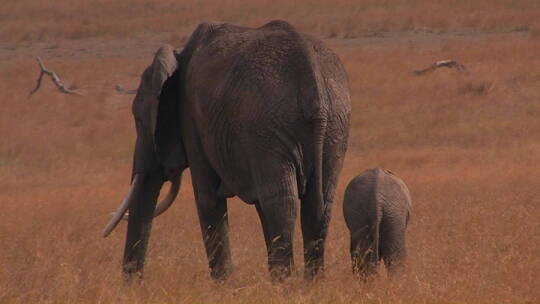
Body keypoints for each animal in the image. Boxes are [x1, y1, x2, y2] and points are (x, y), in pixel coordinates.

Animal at [103, 20, 352, 282]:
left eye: (139, 120)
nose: (135, 284)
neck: (178, 58)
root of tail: (312, 78)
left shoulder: (192, 118)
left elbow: (207, 199)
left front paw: (224, 284)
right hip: (334, 126)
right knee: (319, 204)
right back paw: (310, 283)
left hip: (267, 128)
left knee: (283, 202)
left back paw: (284, 283)